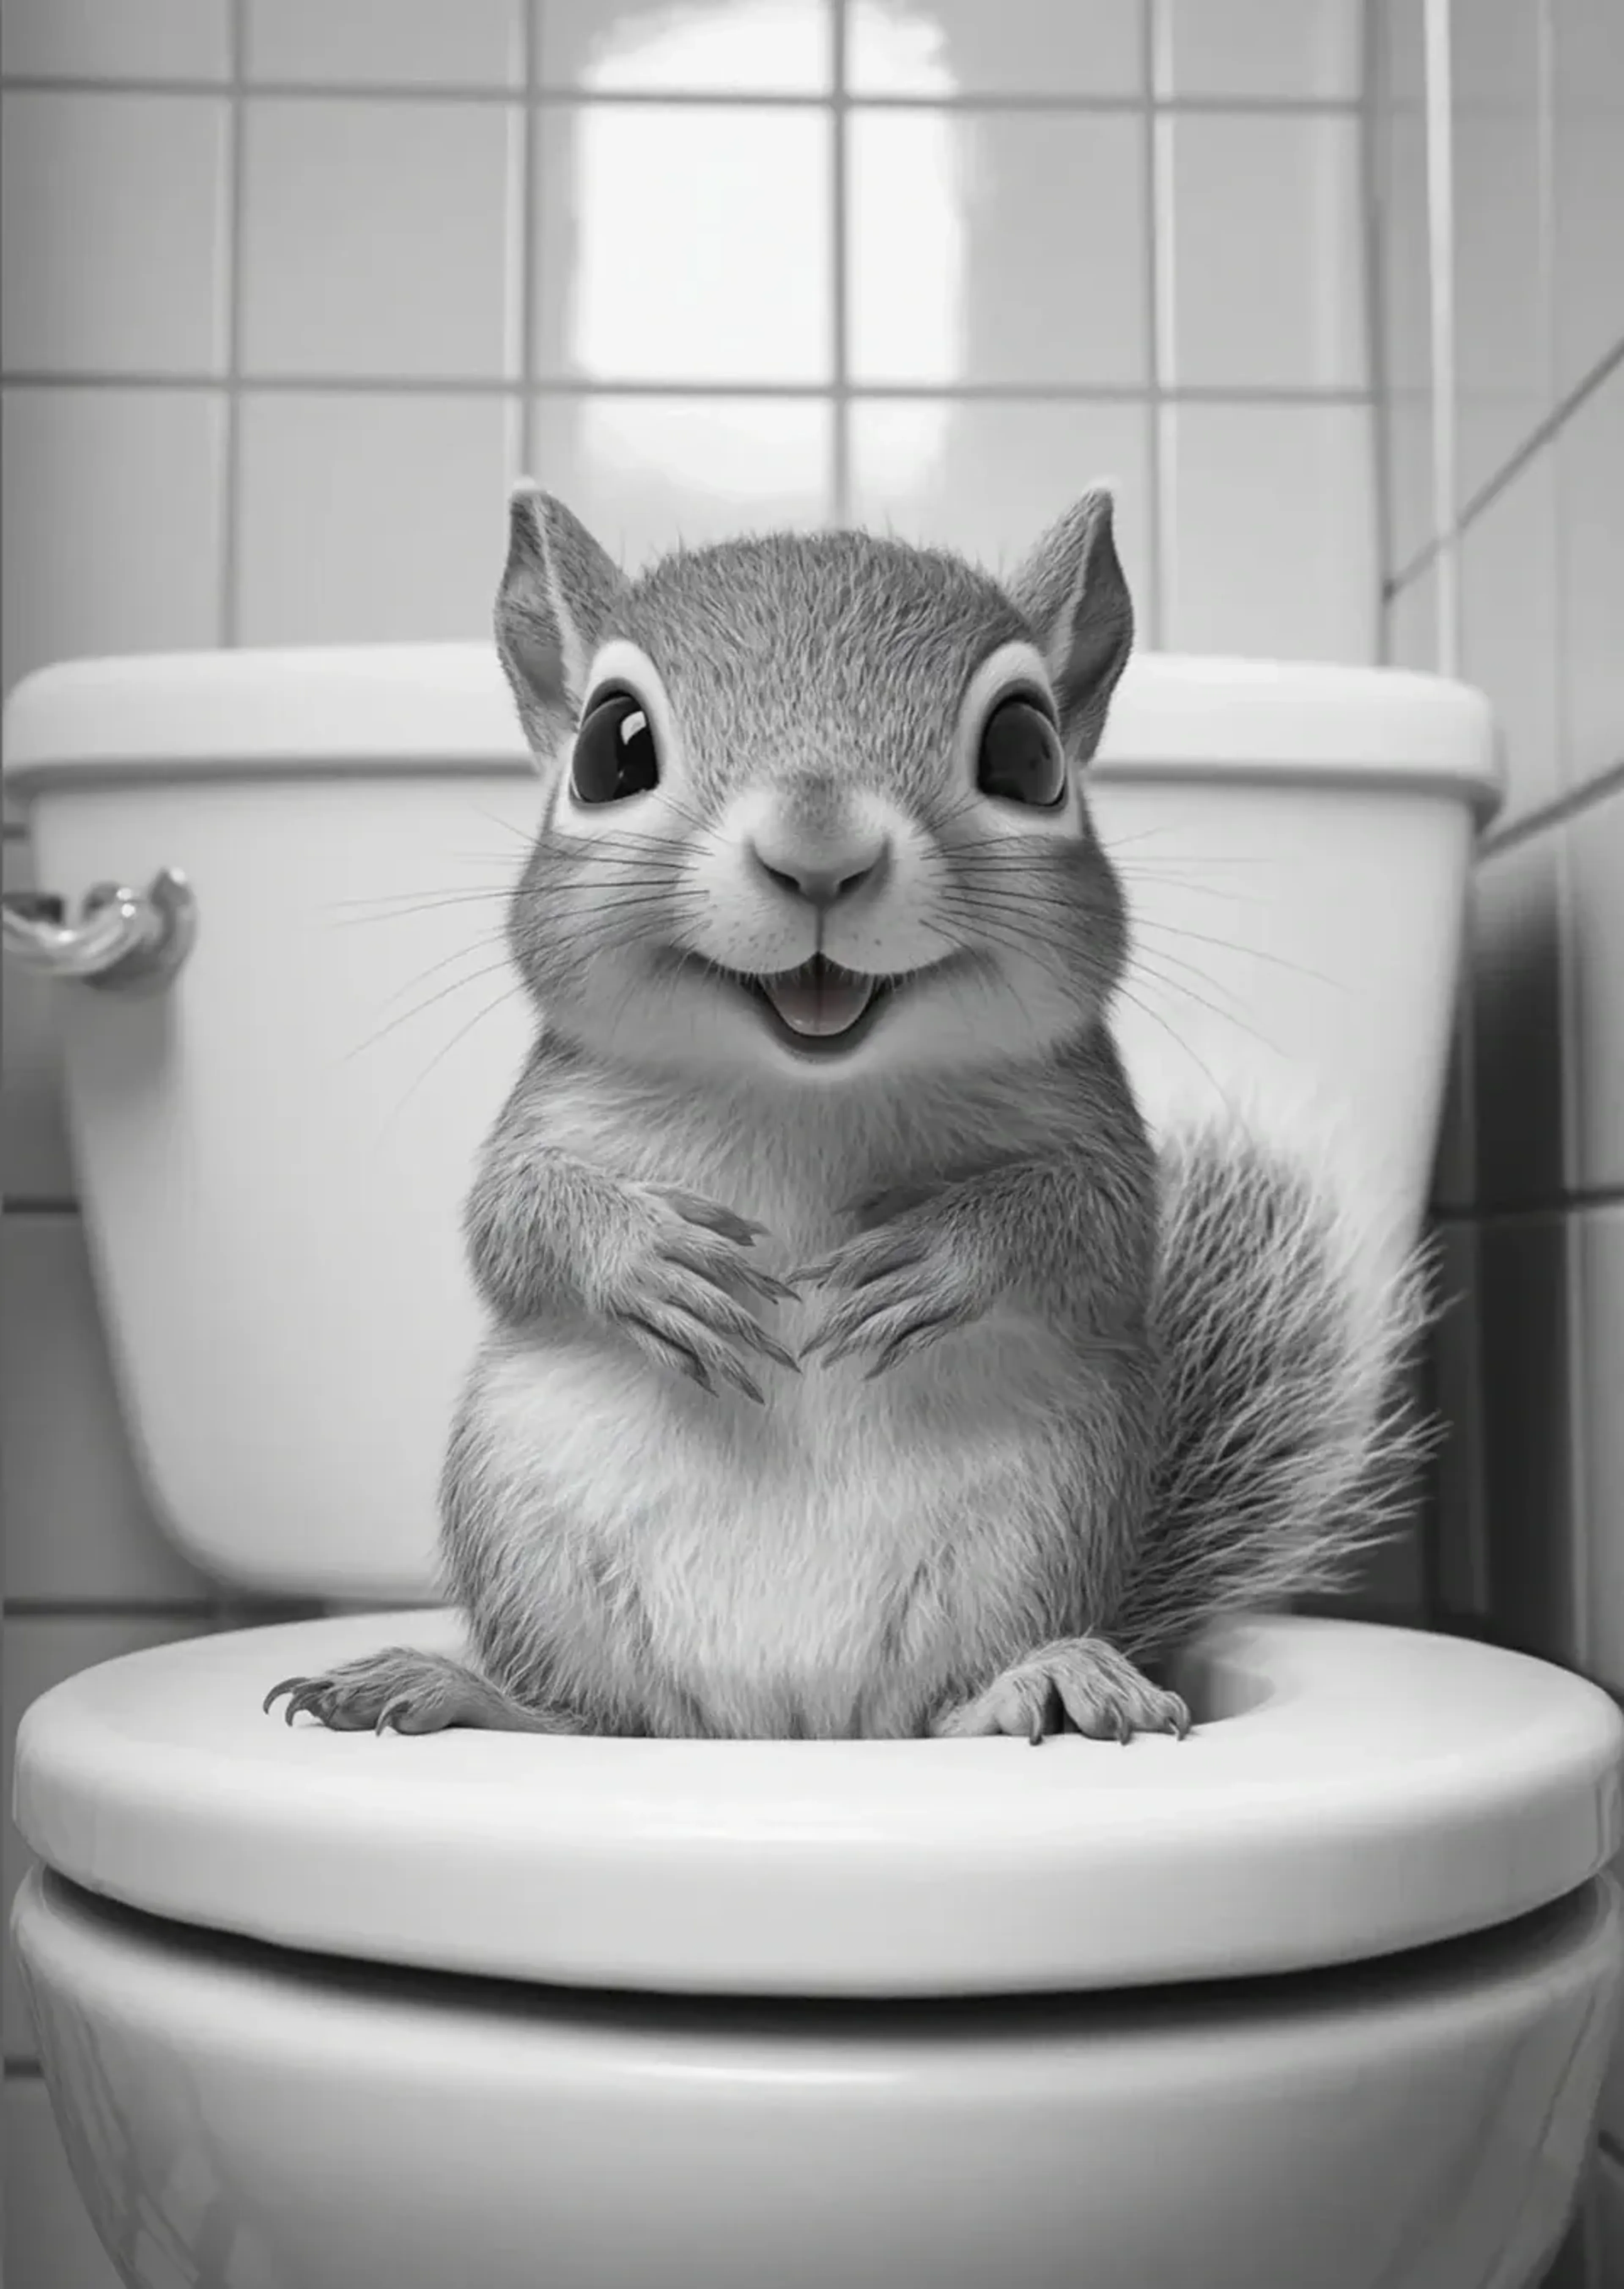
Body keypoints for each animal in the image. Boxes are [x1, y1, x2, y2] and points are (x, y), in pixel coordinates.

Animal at [266, 484, 1430, 1747]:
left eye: (1028, 751)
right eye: (607, 748)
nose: (816, 850)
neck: (805, 1087)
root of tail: (787, 1724)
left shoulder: (1097, 1128)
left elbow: (1097, 1226)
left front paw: (941, 1256)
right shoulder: (549, 1107)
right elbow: (509, 1222)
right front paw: (648, 1262)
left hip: (1036, 1525)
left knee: (933, 1709)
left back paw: (1035, 1685)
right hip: (526, 1530)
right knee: (593, 1714)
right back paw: (458, 1691)